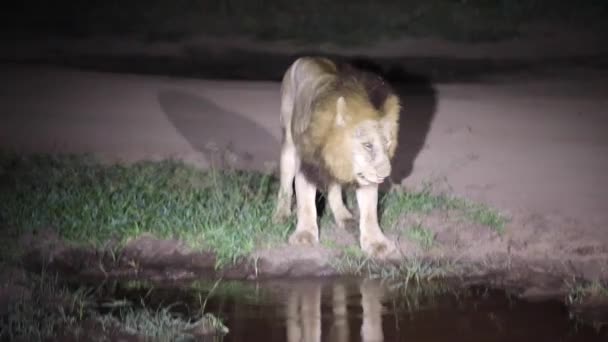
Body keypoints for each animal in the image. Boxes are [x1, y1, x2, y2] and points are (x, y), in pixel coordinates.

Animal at [274, 56, 402, 260]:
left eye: (387, 143)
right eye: (367, 145)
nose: (384, 175)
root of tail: (306, 57)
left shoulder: (363, 176)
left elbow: (370, 212)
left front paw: (376, 243)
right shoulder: (308, 166)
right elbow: (306, 204)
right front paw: (304, 235)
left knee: (334, 188)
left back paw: (344, 216)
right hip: (288, 143)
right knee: (286, 184)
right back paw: (281, 214)